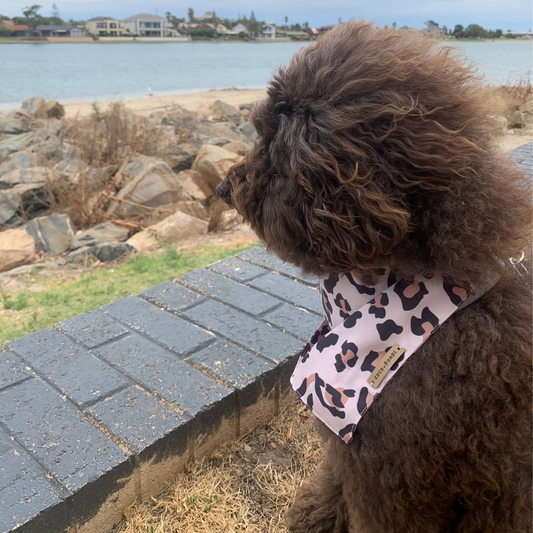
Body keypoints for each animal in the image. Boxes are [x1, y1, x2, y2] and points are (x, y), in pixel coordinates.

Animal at [215, 20, 528, 532]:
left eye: (274, 148)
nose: (223, 187)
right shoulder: (355, 460)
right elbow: (334, 483)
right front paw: (315, 514)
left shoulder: (392, 471)